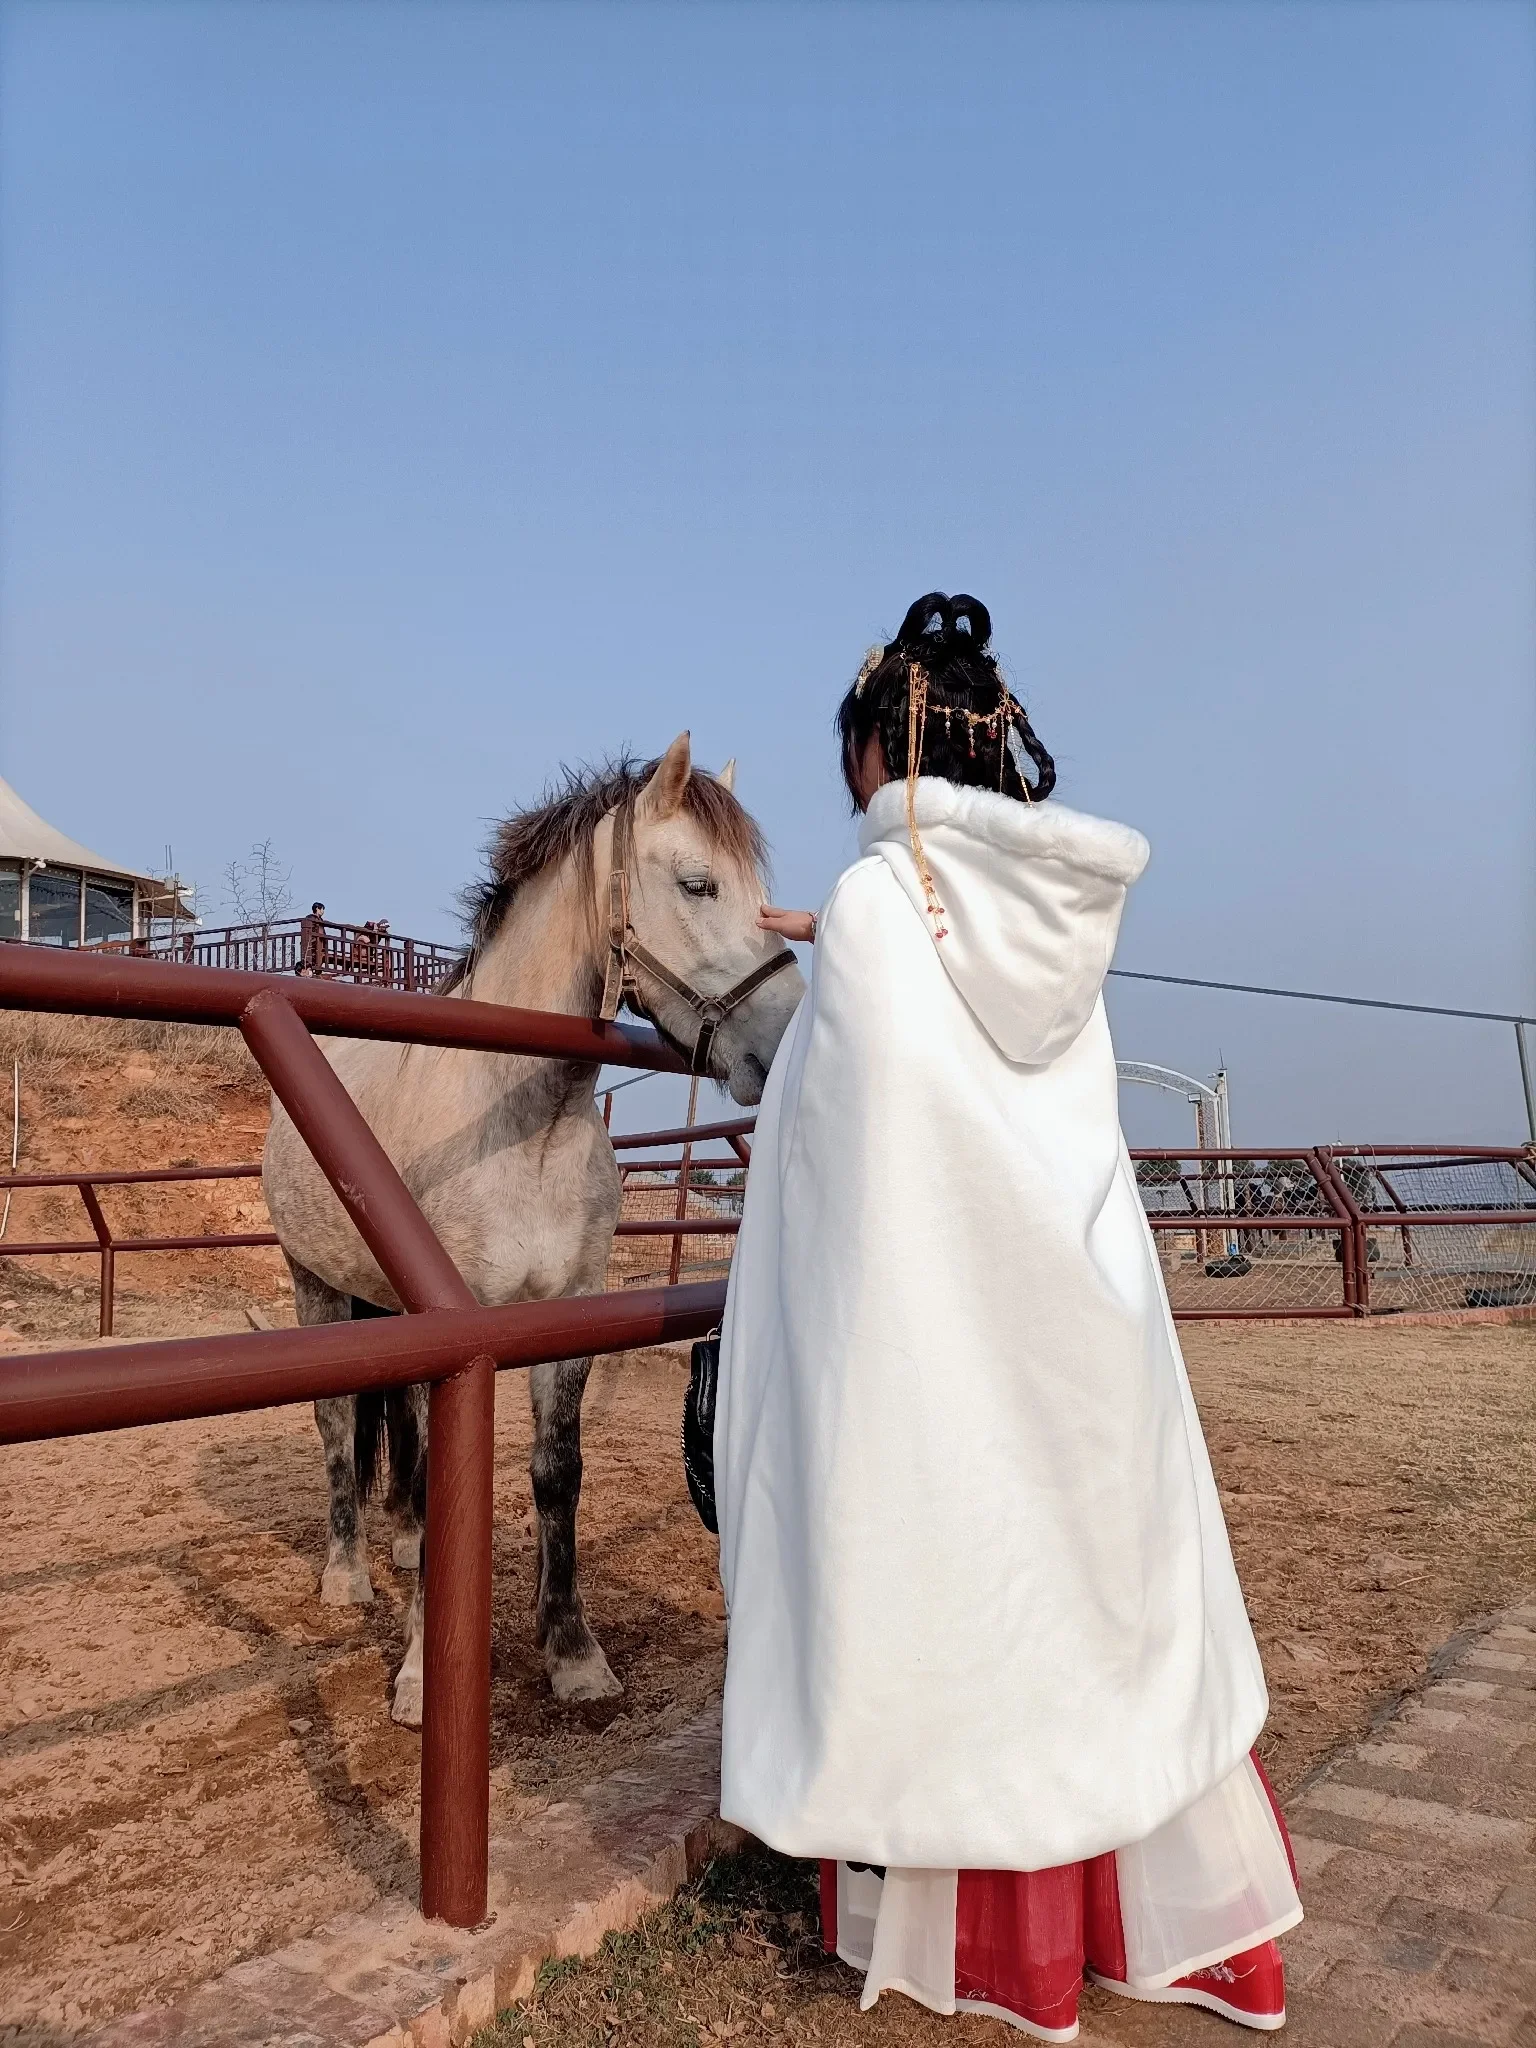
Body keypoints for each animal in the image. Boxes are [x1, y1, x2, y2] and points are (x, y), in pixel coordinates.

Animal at [262, 737, 806, 1728]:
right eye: (699, 883)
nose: (786, 1037)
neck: (521, 1125)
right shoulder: (449, 1329)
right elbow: (433, 1482)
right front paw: (418, 1678)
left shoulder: (569, 1315)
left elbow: (558, 1475)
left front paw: (573, 1655)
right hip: (315, 1285)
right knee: (336, 1427)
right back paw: (348, 1574)